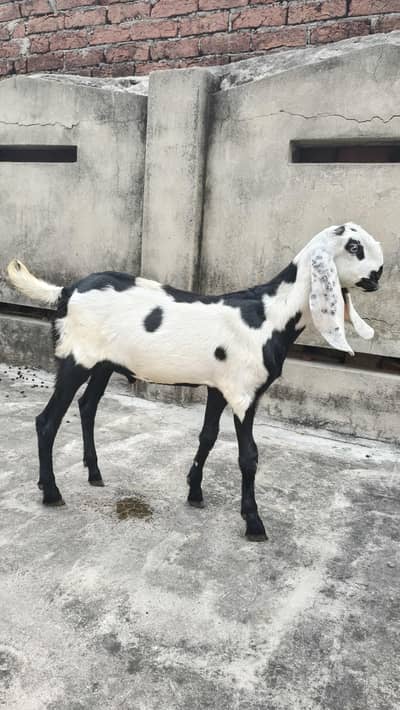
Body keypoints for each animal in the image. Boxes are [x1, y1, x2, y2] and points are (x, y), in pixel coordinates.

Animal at [6, 222, 383, 540]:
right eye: (354, 246)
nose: (379, 274)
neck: (268, 315)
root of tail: (67, 291)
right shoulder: (244, 392)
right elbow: (249, 456)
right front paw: (254, 523)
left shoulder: (219, 386)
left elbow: (208, 437)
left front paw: (195, 491)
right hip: (75, 359)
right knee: (47, 421)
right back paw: (51, 492)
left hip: (102, 363)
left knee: (87, 406)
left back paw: (93, 474)